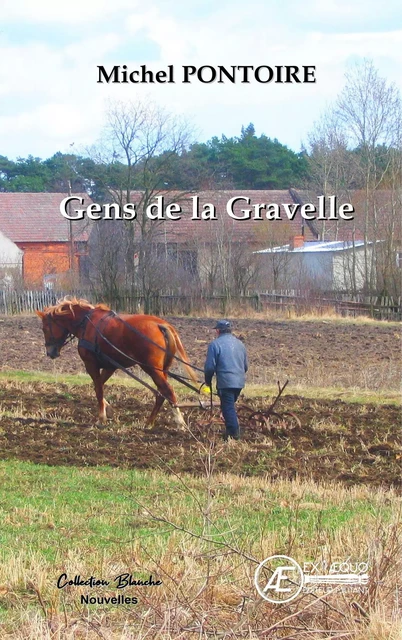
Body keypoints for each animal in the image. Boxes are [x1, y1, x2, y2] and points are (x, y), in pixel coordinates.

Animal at [37, 298, 197, 428]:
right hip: (163, 369)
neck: (86, 323)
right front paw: (109, 410)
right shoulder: (110, 366)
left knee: (167, 391)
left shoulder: (91, 364)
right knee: (161, 393)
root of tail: (160, 324)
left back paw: (180, 423)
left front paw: (101, 418)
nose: (50, 352)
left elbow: (98, 389)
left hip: (152, 369)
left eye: (44, 328)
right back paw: (149, 422)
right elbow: (98, 386)